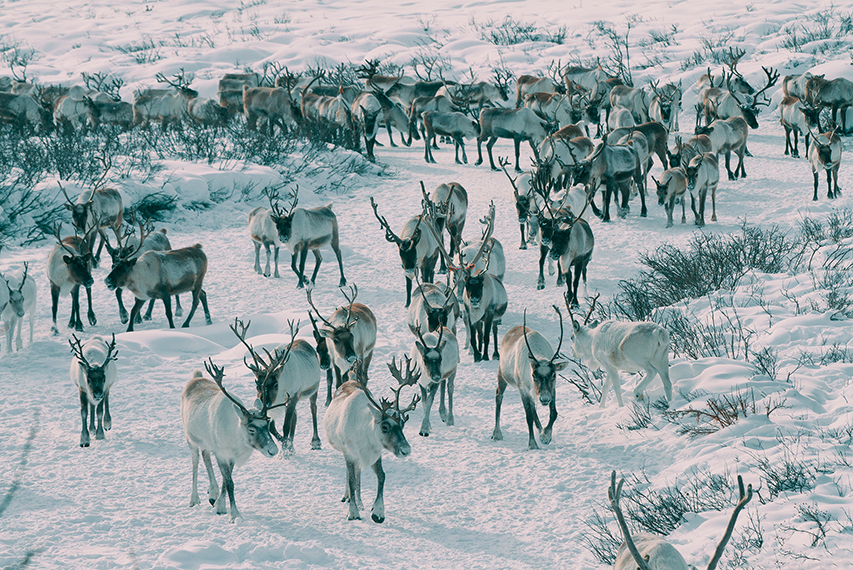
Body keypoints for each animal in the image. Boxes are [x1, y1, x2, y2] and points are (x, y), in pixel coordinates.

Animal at [181, 358, 284, 521]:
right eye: (251, 429)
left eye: (268, 424)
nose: (273, 450)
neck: (236, 438)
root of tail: (194, 378)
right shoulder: (221, 453)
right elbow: (230, 483)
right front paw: (234, 515)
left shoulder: (231, 456)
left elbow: (225, 480)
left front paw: (220, 505)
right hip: (190, 438)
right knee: (195, 461)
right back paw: (194, 499)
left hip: (206, 442)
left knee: (205, 455)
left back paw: (212, 493)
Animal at [229, 318, 321, 455]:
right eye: (257, 384)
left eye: (275, 384)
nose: (264, 401)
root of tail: (305, 342)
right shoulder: (273, 406)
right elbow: (272, 427)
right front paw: (288, 446)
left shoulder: (292, 397)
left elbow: (285, 426)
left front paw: (286, 451)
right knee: (295, 416)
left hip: (314, 389)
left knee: (313, 408)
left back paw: (315, 442)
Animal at [324, 356, 420, 522]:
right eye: (385, 426)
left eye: (402, 424)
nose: (406, 450)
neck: (365, 435)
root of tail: (351, 379)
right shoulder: (350, 453)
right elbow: (352, 480)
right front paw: (353, 512)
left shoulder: (376, 453)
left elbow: (382, 476)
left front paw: (378, 512)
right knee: (351, 474)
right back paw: (348, 497)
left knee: (358, 473)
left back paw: (359, 501)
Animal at [492, 306, 567, 450]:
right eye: (533, 375)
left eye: (554, 375)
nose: (544, 399)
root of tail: (510, 331)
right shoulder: (523, 388)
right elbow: (528, 417)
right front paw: (532, 444)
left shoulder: (552, 389)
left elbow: (553, 413)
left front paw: (545, 436)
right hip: (502, 374)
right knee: (499, 396)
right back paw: (497, 434)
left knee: (533, 407)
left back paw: (540, 431)